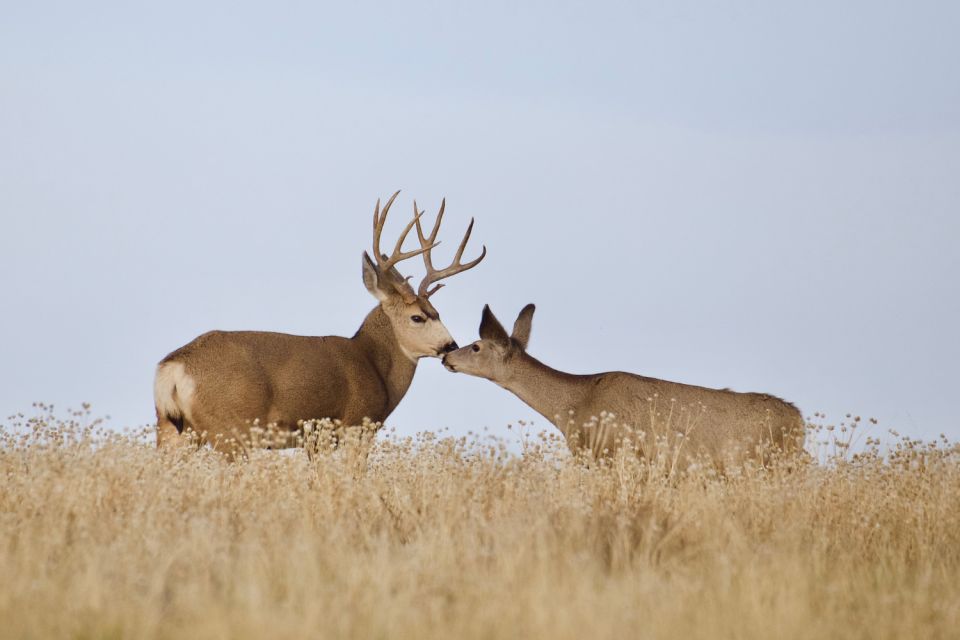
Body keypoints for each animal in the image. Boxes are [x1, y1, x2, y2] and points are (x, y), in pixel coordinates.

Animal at [158, 190, 488, 456]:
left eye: (437, 312)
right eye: (417, 316)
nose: (451, 346)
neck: (373, 364)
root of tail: (173, 367)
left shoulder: (316, 439)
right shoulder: (356, 424)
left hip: (174, 430)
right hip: (231, 430)